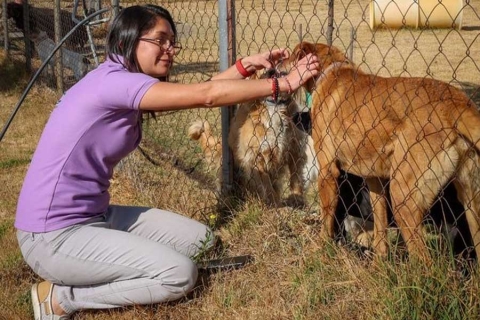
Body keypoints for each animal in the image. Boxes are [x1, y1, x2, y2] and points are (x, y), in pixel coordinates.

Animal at [188, 69, 318, 208]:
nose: (272, 69)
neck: (274, 107)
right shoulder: (256, 156)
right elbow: (266, 183)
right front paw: (274, 203)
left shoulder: (294, 149)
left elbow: (296, 179)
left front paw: (296, 199)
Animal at [280, 41, 480, 264]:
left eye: (291, 56)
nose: (276, 64)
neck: (331, 71)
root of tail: (457, 103)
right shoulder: (374, 180)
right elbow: (380, 227)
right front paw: (379, 263)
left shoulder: (327, 172)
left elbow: (327, 220)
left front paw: (320, 249)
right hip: (470, 203)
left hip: (403, 196)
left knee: (424, 259)